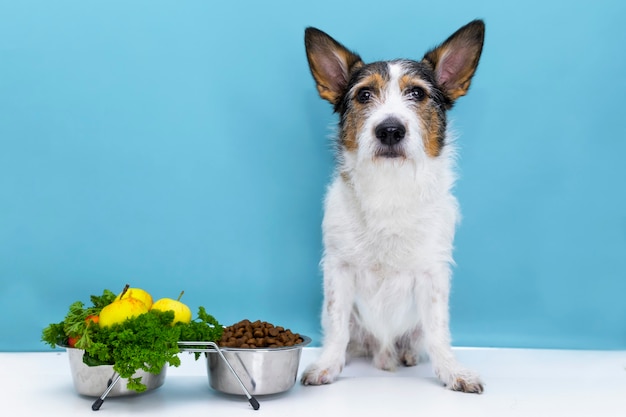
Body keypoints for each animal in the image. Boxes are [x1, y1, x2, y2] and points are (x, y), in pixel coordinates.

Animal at [300, 19, 486, 392]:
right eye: (364, 95)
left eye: (417, 93)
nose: (389, 130)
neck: (390, 185)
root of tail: (382, 352)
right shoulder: (339, 270)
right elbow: (337, 325)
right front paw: (328, 365)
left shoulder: (432, 274)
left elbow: (438, 331)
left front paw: (452, 371)